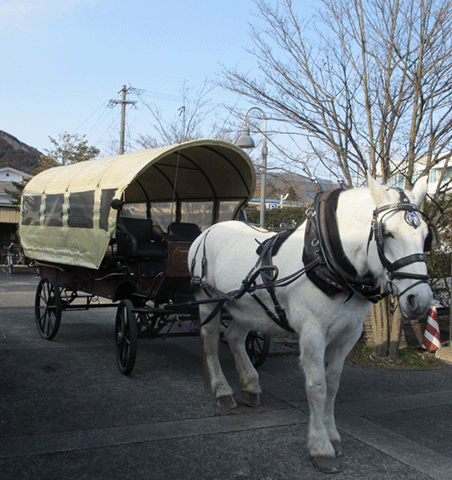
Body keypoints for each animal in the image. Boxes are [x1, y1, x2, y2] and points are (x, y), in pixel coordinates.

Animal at [188, 174, 434, 474]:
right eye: (387, 233)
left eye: (425, 236)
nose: (419, 300)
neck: (328, 259)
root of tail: (207, 231)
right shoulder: (312, 334)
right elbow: (317, 386)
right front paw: (320, 446)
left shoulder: (348, 335)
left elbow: (333, 383)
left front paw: (333, 434)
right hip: (208, 300)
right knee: (211, 343)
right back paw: (222, 390)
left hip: (246, 306)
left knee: (235, 337)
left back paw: (250, 385)